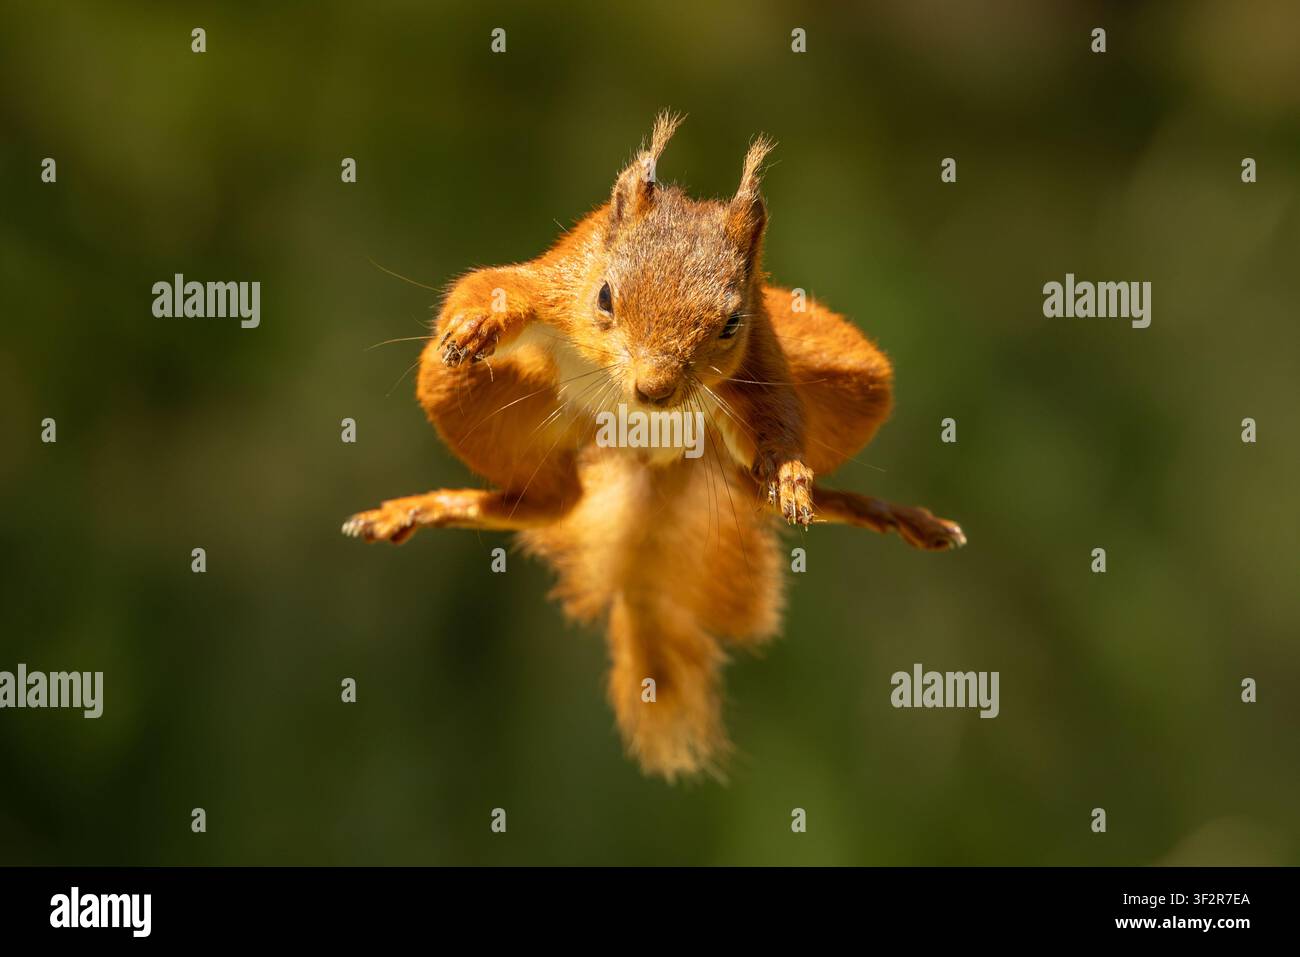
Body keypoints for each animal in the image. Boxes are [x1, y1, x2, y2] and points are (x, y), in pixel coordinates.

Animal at [343, 112, 965, 781]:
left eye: (731, 323)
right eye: (604, 296)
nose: (655, 389)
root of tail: (650, 464)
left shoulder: (764, 354)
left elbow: (780, 417)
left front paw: (790, 471)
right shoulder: (555, 281)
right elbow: (491, 286)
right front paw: (475, 326)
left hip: (849, 375)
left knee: (744, 488)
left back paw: (873, 510)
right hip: (457, 393)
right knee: (553, 501)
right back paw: (427, 507)